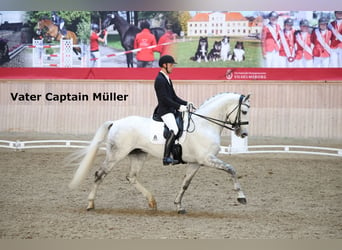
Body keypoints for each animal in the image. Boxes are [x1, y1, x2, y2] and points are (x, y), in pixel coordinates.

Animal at [70, 93, 251, 214]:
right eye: (245, 112)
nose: (243, 134)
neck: (205, 124)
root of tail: (116, 122)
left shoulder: (196, 162)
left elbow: (185, 184)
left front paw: (179, 206)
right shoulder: (207, 159)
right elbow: (231, 169)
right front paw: (241, 197)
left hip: (139, 155)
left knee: (131, 177)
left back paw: (152, 202)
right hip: (116, 155)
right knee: (99, 174)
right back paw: (90, 204)